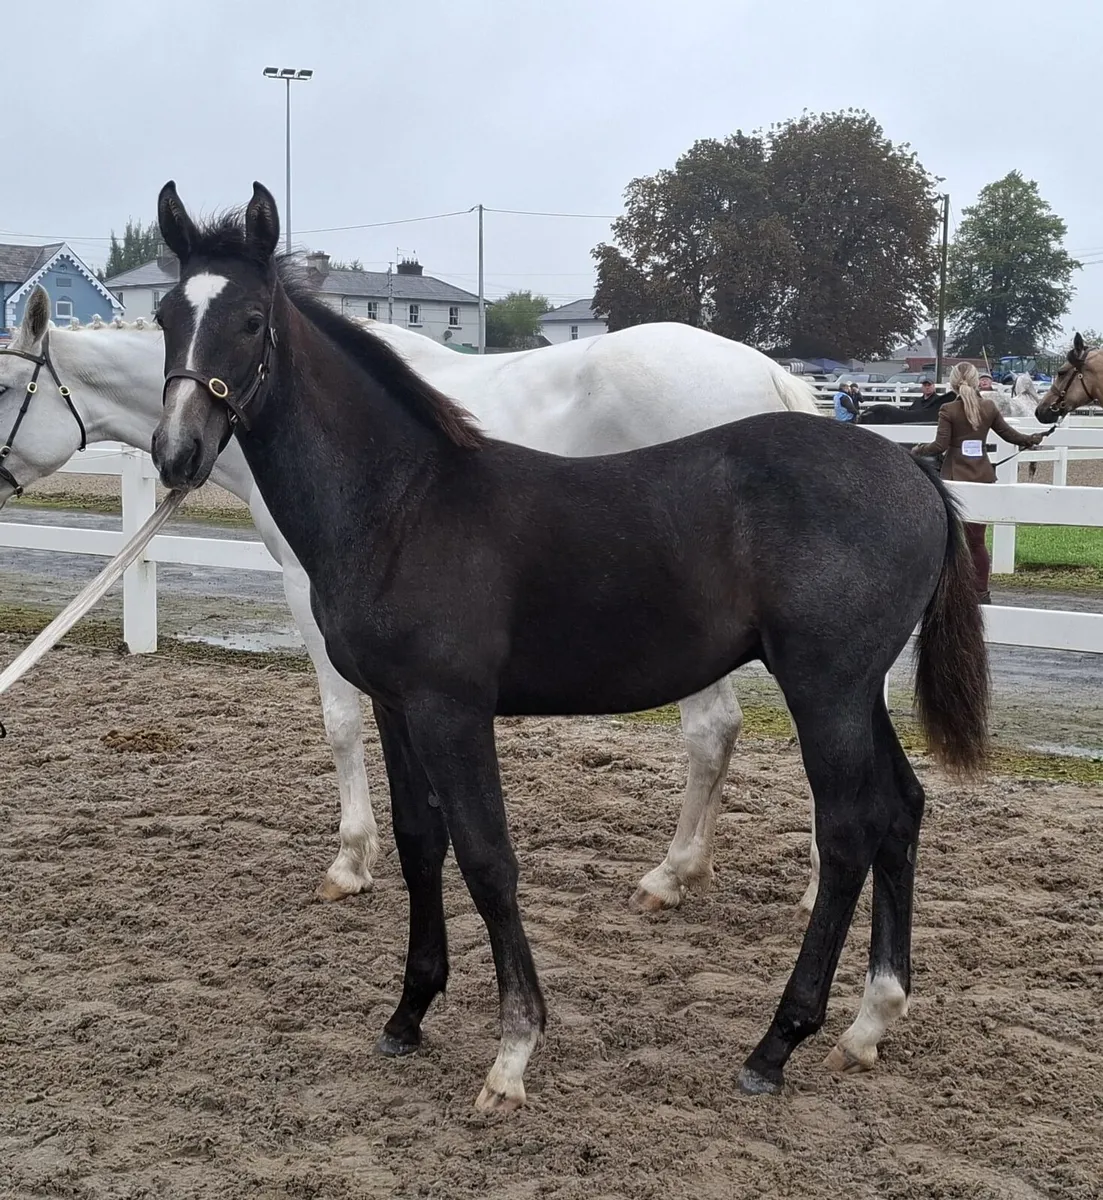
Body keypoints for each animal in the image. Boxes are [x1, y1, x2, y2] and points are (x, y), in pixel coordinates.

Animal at [0, 285, 826, 915]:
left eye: (7, 388)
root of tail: (769, 379)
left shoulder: (309, 592)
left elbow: (339, 723)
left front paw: (351, 861)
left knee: (722, 731)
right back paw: (696, 872)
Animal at [149, 180, 989, 1113]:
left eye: (253, 318)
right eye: (162, 315)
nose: (177, 453)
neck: (402, 504)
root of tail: (912, 470)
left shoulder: (451, 710)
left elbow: (487, 857)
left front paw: (513, 1050)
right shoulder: (398, 707)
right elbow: (419, 843)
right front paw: (408, 1014)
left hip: (825, 687)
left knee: (848, 832)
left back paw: (777, 1042)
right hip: (852, 690)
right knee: (901, 811)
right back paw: (868, 1024)